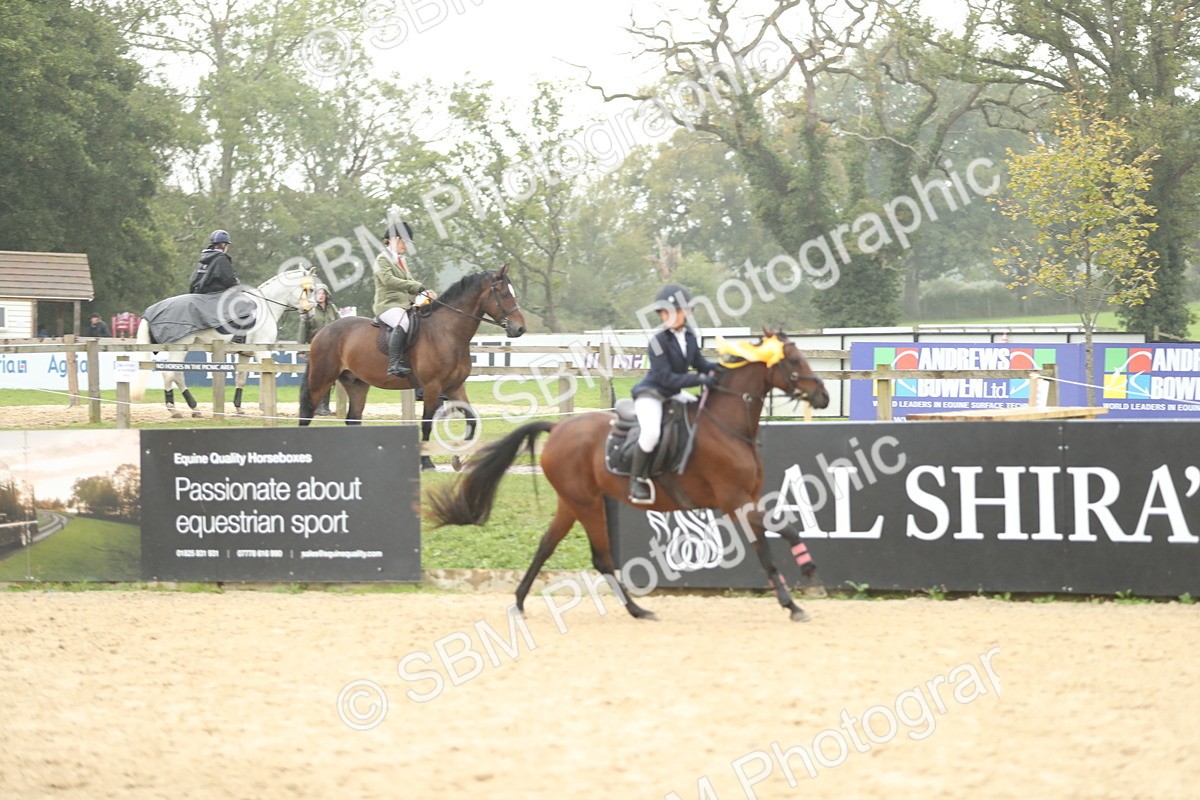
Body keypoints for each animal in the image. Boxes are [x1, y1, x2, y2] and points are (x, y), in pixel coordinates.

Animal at [131, 267, 316, 411]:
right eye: (312, 289)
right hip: (179, 348)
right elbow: (268, 373)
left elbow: (241, 377)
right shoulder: (261, 351)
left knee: (176, 375)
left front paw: (239, 407)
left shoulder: (245, 354)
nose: (311, 314)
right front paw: (267, 407)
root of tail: (152, 311)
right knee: (170, 374)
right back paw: (174, 407)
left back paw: (193, 407)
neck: (266, 304)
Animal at [298, 266, 526, 470]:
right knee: (307, 412)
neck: (448, 332)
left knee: (353, 419)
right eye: (504, 294)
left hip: (357, 384)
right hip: (321, 378)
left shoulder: (454, 386)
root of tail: (323, 330)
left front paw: (460, 458)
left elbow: (472, 418)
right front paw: (426, 463)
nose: (520, 328)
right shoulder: (432, 387)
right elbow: (426, 423)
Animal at [427, 330, 832, 622]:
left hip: (572, 503)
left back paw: (521, 602)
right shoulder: (736, 502)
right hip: (587, 504)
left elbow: (781, 533)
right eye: (794, 360)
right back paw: (636, 609)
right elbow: (773, 545)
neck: (726, 426)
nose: (824, 396)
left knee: (545, 546)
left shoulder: (749, 500)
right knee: (602, 560)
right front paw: (799, 593)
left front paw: (802, 585)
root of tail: (558, 428)